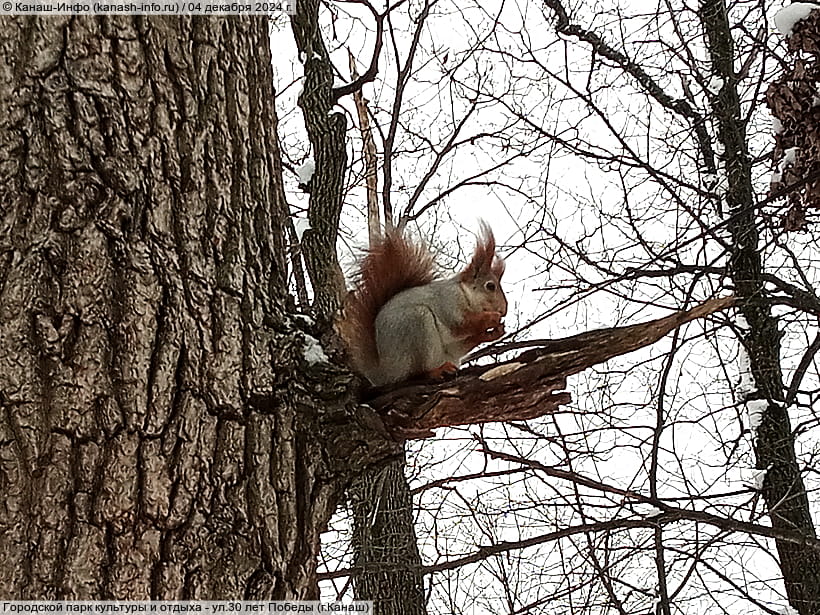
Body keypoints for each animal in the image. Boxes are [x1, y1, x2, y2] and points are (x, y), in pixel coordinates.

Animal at [338, 224, 506, 388]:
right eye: (490, 286)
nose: (504, 310)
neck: (465, 294)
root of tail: (383, 374)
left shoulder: (455, 342)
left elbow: (461, 343)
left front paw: (492, 333)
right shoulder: (448, 302)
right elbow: (461, 324)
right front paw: (492, 318)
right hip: (416, 324)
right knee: (416, 373)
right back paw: (436, 371)